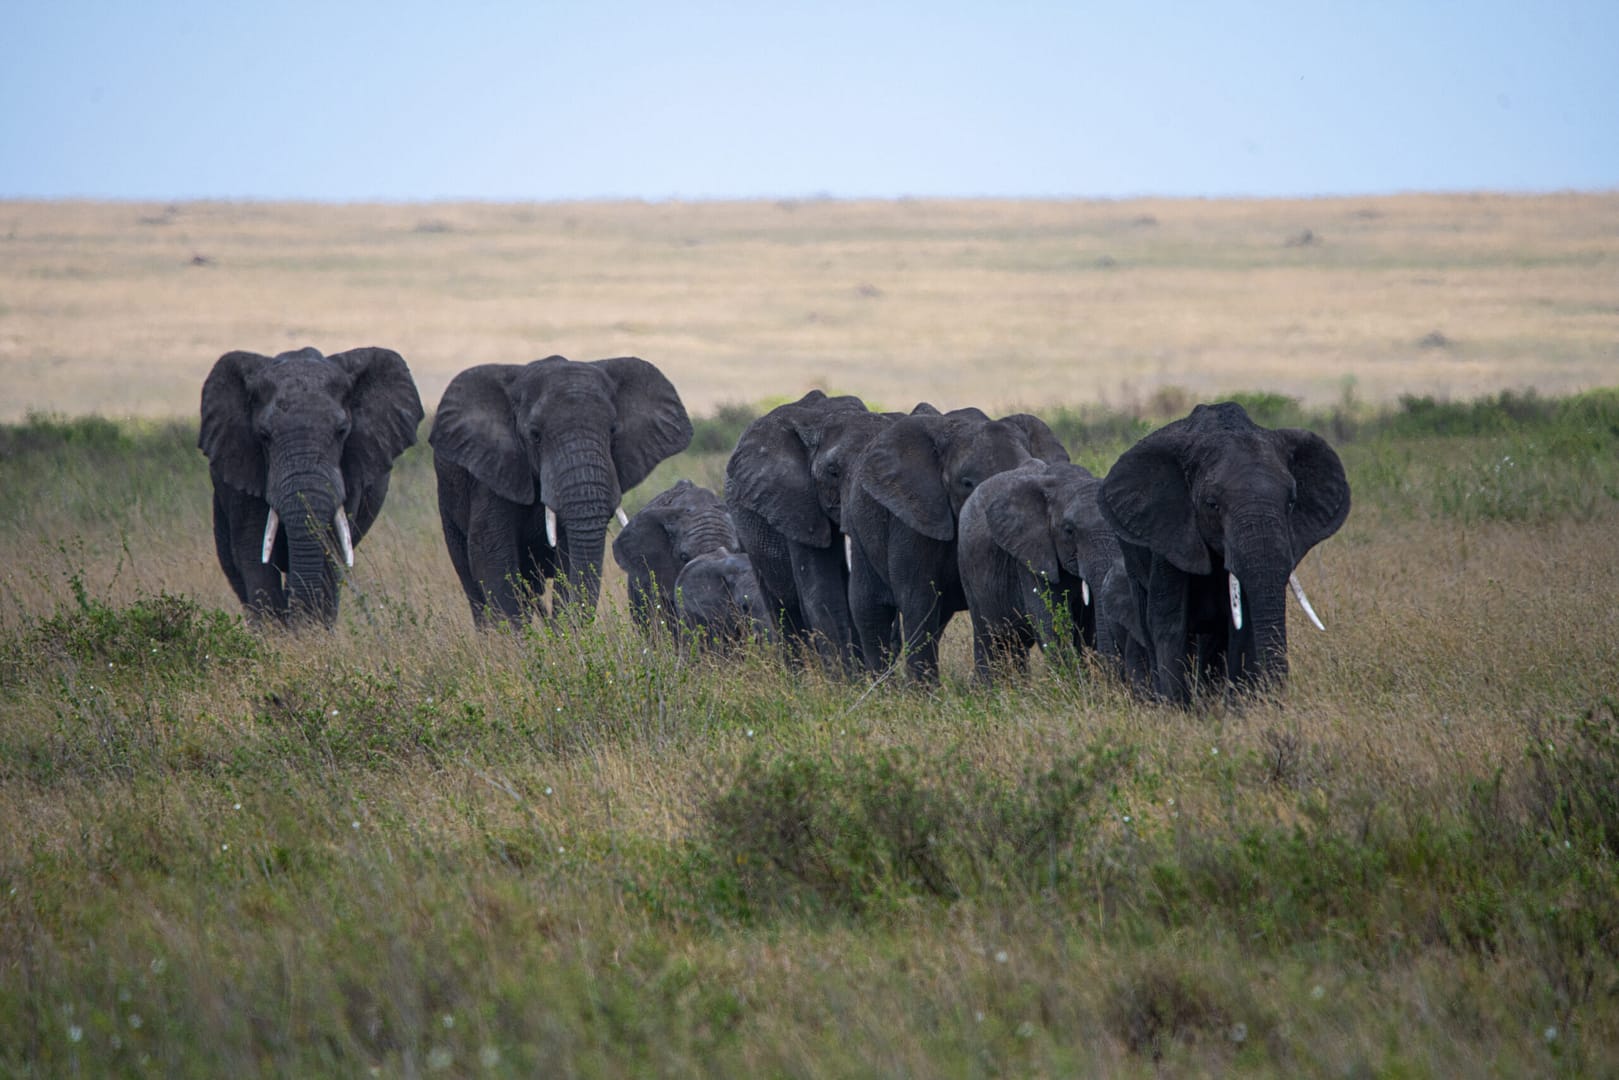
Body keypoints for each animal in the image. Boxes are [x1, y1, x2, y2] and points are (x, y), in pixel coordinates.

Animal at [198, 345, 424, 626]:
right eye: (263, 436)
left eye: (342, 431)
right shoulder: (243, 472)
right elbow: (253, 555)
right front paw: (279, 633)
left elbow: (329, 552)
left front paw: (310, 631)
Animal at [430, 355, 692, 627]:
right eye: (535, 436)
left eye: (612, 431)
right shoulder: (493, 470)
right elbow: (491, 554)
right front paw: (517, 638)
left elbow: (569, 556)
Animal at [843, 408, 1071, 681]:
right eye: (966, 483)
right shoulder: (913, 520)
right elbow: (918, 600)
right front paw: (923, 691)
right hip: (858, 527)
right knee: (869, 610)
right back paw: (882, 687)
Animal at [956, 459, 1123, 681]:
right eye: (1069, 531)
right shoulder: (1030, 556)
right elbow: (1051, 625)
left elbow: (1089, 624)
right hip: (969, 570)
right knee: (992, 639)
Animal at [1097, 401, 1350, 704]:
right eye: (1212, 504)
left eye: (1291, 502)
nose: (1277, 698)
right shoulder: (1169, 533)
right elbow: (1169, 622)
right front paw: (1177, 709)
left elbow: (1243, 624)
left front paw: (1239, 707)